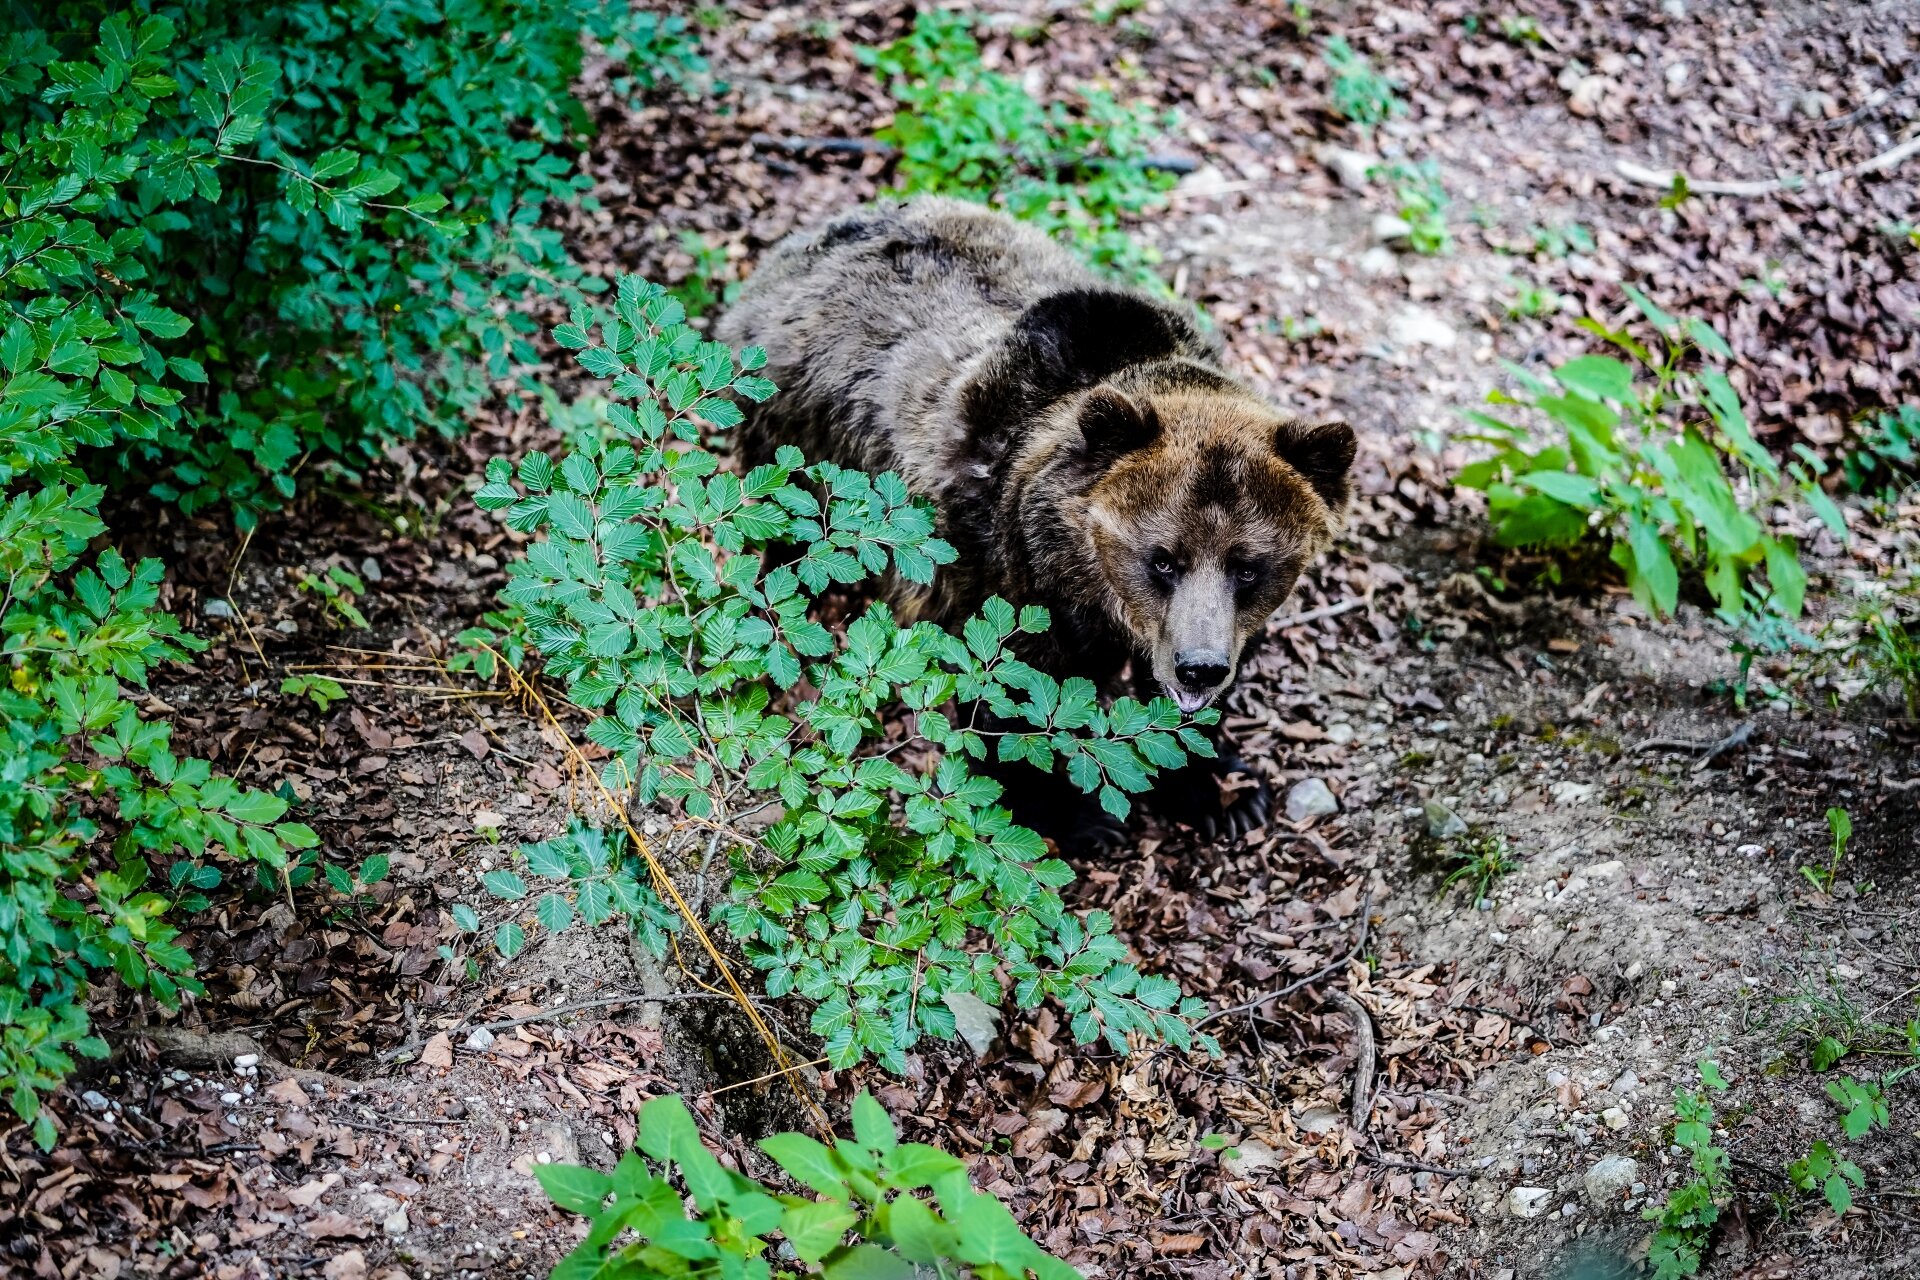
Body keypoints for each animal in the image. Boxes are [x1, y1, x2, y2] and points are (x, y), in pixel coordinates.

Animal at [716, 196, 1354, 844]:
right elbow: (1008, 699)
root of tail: (792, 248)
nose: (1198, 667)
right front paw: (1077, 816)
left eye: (1247, 567)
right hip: (796, 435)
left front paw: (1225, 792)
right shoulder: (1000, 570)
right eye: (1162, 560)